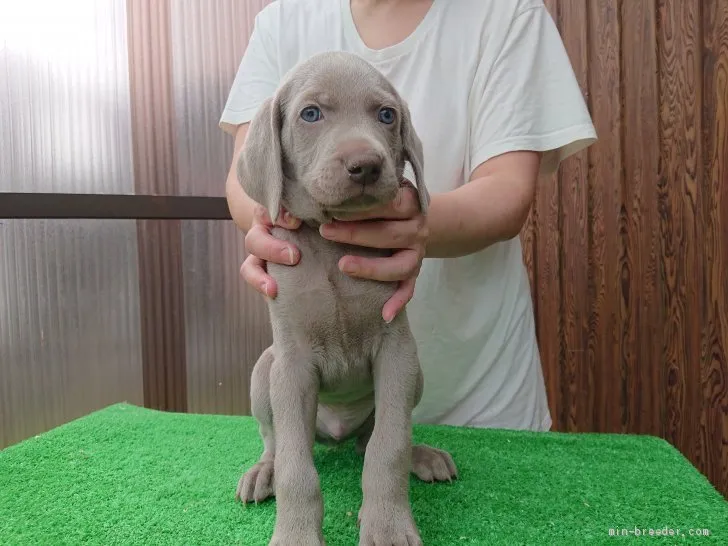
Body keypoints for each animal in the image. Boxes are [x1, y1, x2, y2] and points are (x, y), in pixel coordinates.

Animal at [236, 50, 458, 540]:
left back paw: (424, 456)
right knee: (274, 440)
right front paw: (295, 535)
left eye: (387, 115)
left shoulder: (396, 351)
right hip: (264, 369)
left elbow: (389, 446)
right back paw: (264, 472)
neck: (331, 241)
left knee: (372, 439)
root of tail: (335, 431)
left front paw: (388, 525)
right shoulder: (292, 363)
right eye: (310, 114)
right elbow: (297, 466)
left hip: (414, 375)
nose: (366, 165)